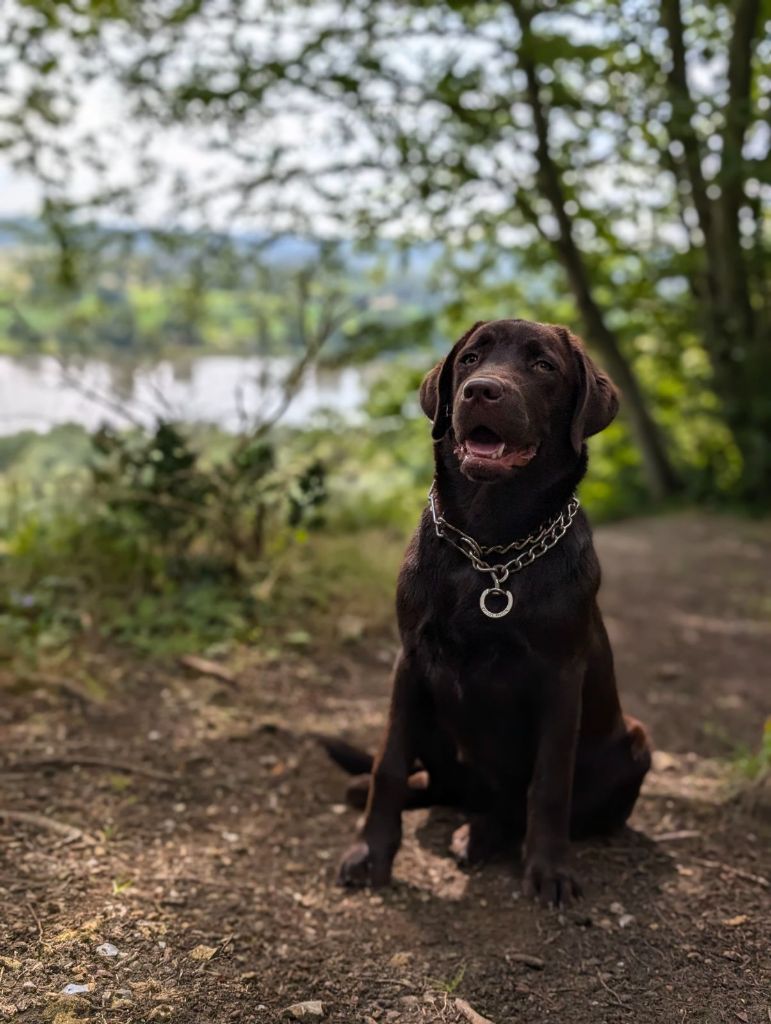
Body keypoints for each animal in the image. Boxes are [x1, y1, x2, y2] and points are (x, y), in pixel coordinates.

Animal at [325, 317, 651, 905]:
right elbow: (389, 763)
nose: (481, 391)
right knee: (435, 784)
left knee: (513, 807)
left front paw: (549, 870)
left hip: (636, 740)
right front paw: (369, 853)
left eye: (543, 365)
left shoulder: (561, 677)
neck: (489, 546)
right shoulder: (410, 663)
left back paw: (479, 834)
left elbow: (549, 784)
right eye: (471, 359)